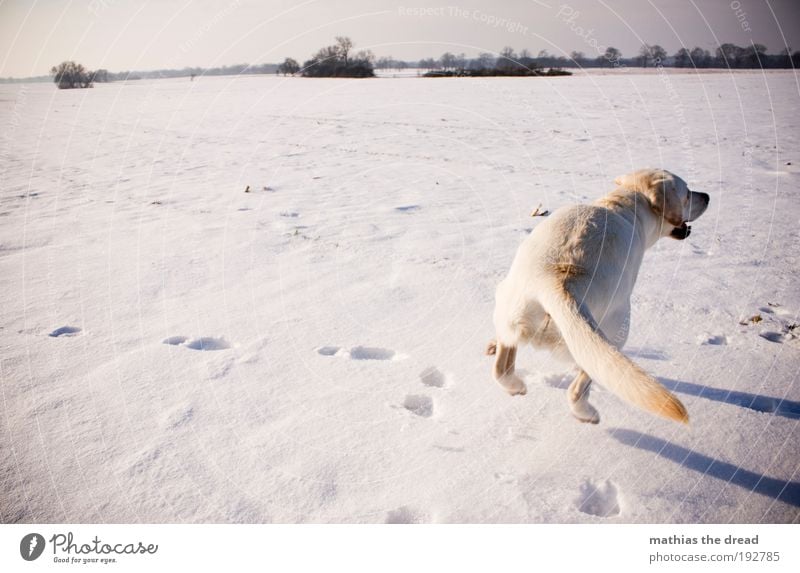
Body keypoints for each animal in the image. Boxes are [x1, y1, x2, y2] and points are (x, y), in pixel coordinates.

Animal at [488, 168, 708, 422]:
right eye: (688, 194)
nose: (708, 196)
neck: (625, 205)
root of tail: (556, 282)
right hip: (617, 329)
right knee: (578, 387)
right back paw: (587, 413)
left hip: (510, 306)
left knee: (501, 367)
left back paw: (514, 383)